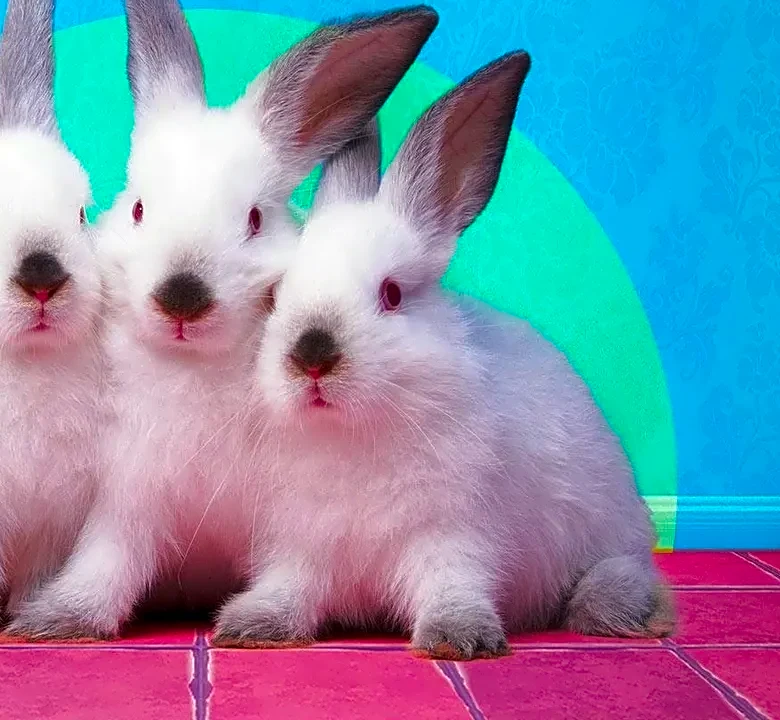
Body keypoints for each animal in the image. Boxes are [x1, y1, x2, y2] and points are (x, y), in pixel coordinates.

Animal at [8, 0, 439, 640]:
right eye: (139, 209)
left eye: (255, 219)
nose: (183, 296)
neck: (195, 370)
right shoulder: (128, 499)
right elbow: (109, 562)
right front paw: (61, 618)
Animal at [215, 51, 675, 658]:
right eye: (276, 295)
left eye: (391, 294)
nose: (311, 356)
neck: (352, 435)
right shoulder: (302, 545)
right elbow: (290, 588)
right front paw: (251, 627)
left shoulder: (455, 537)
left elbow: (451, 586)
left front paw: (459, 639)